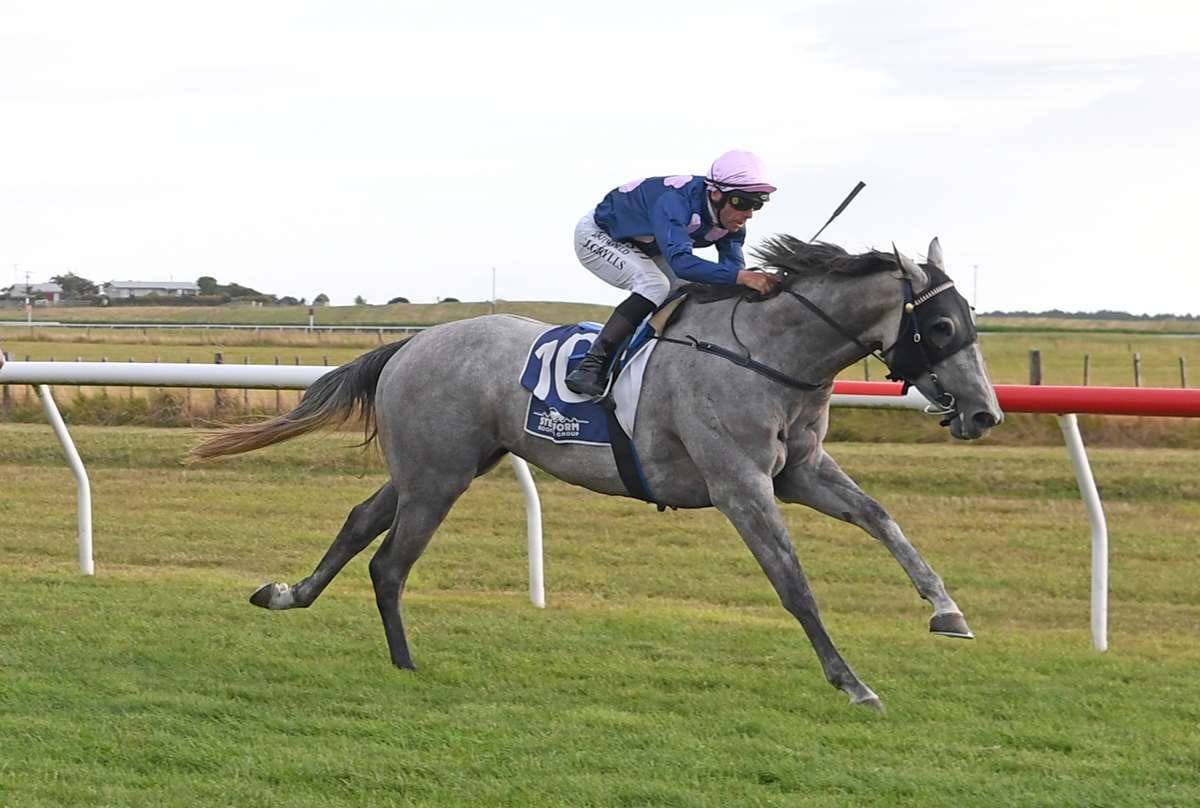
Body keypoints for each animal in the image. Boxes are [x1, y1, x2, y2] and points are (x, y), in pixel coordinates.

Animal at [190, 236, 1002, 711]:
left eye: (971, 322)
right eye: (941, 327)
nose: (986, 413)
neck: (770, 355)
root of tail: (414, 342)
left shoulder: (797, 472)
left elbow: (881, 519)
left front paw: (947, 611)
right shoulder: (739, 485)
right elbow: (794, 583)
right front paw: (853, 682)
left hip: (437, 466)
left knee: (361, 522)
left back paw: (288, 594)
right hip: (439, 477)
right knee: (389, 562)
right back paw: (406, 662)